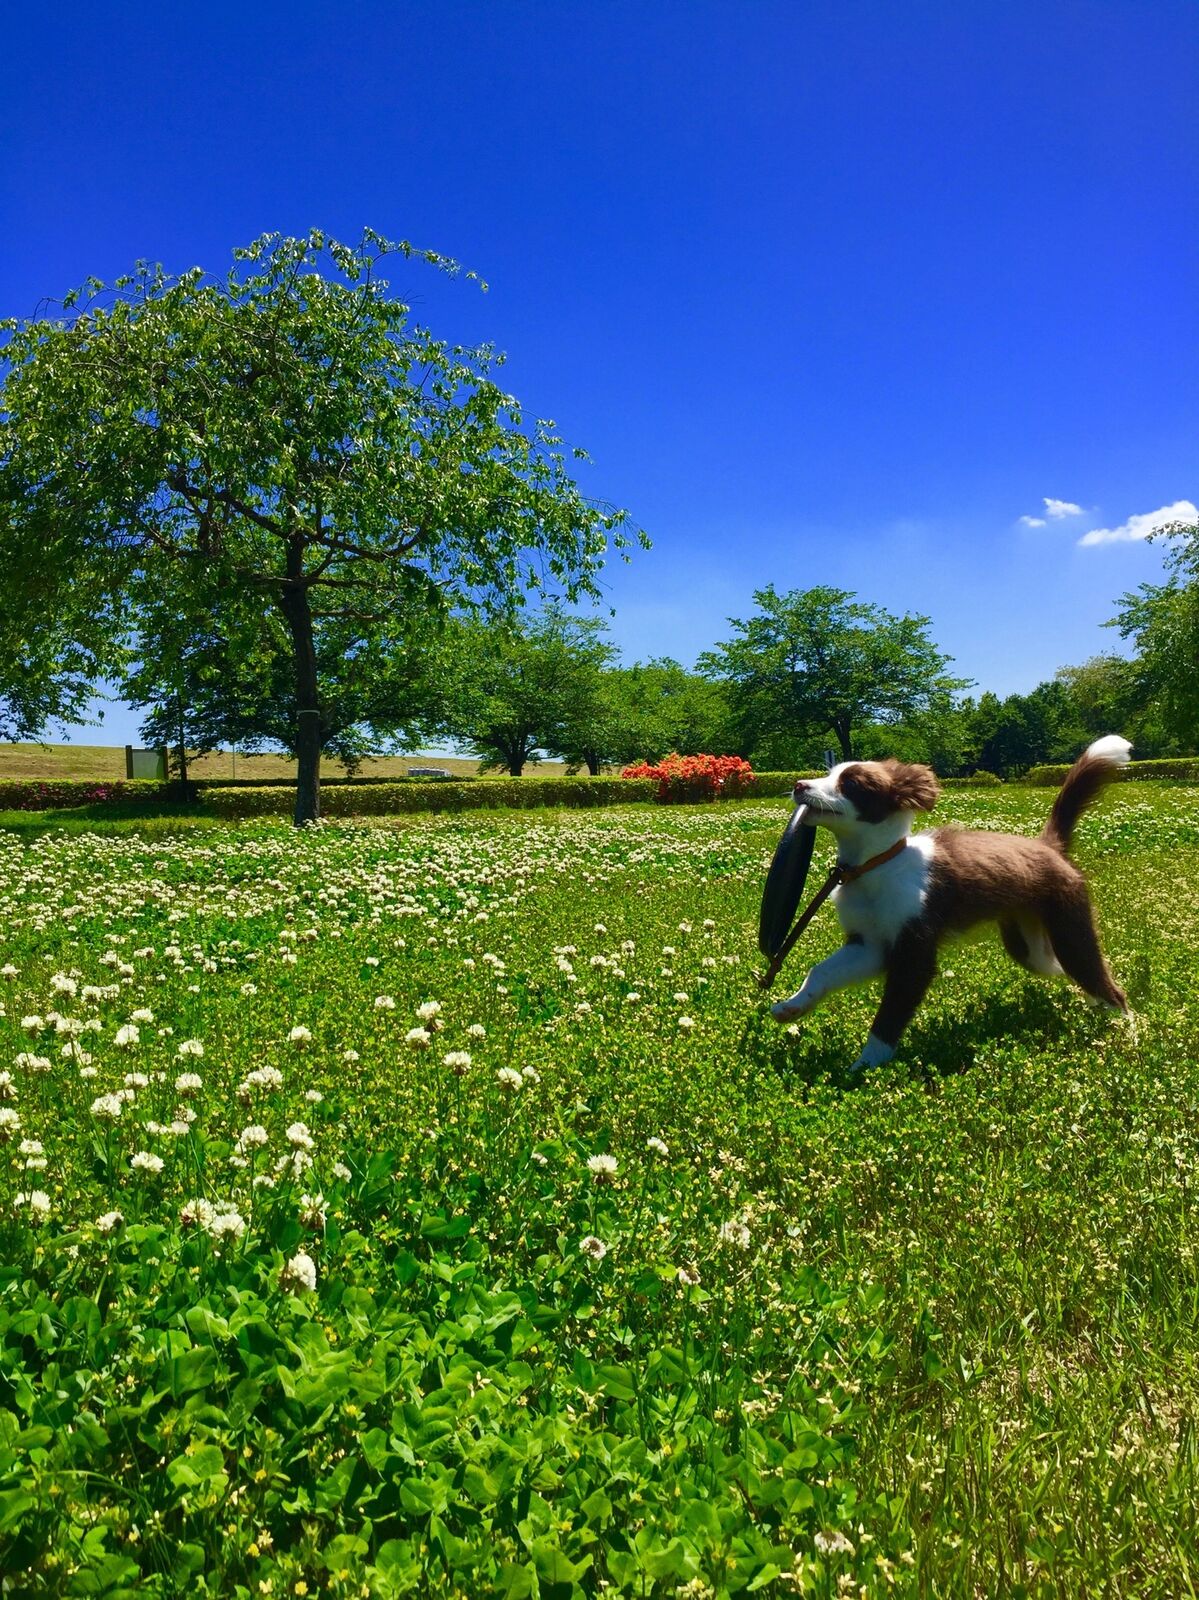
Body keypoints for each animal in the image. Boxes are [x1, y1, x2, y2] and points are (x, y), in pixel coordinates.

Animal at [771, 736, 1126, 1075]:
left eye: (852, 784)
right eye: (829, 773)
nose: (799, 785)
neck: (875, 866)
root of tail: (1048, 847)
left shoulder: (915, 949)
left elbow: (889, 1016)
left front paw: (864, 1067)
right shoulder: (869, 944)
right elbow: (822, 970)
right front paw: (792, 1005)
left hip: (1069, 927)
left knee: (1104, 983)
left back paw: (1124, 1032)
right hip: (1028, 945)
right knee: (1065, 969)